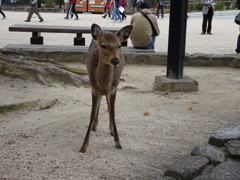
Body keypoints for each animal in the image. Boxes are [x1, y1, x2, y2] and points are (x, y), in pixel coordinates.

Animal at [80, 23, 133, 153]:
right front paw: (83, 146)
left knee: (109, 107)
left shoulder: (114, 89)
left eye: (119, 45)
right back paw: (95, 126)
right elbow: (92, 113)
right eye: (103, 45)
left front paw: (118, 142)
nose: (116, 60)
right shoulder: (94, 89)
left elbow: (113, 112)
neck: (104, 85)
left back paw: (111, 130)